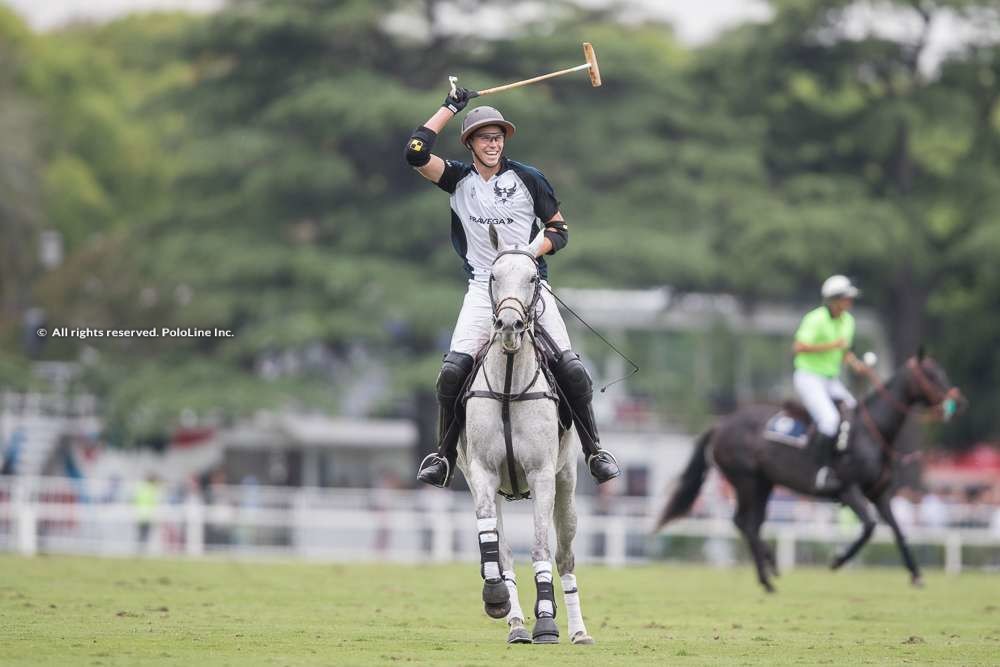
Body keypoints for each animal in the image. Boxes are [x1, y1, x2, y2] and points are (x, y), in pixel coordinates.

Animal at [458, 226, 592, 648]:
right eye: (493, 276)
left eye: (533, 278)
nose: (509, 326)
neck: (508, 386)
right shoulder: (482, 474)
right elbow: (492, 544)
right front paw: (497, 599)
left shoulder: (542, 475)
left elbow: (540, 548)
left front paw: (547, 620)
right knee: (503, 552)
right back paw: (516, 624)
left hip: (567, 484)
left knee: (565, 556)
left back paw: (579, 631)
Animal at [660, 352, 964, 592]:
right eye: (931, 375)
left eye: (942, 372)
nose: (958, 402)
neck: (873, 432)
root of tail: (720, 425)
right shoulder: (848, 489)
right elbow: (868, 526)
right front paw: (838, 559)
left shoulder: (880, 494)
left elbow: (899, 532)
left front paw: (916, 575)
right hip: (746, 480)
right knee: (745, 522)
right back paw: (767, 577)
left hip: (764, 483)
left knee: (751, 524)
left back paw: (770, 568)